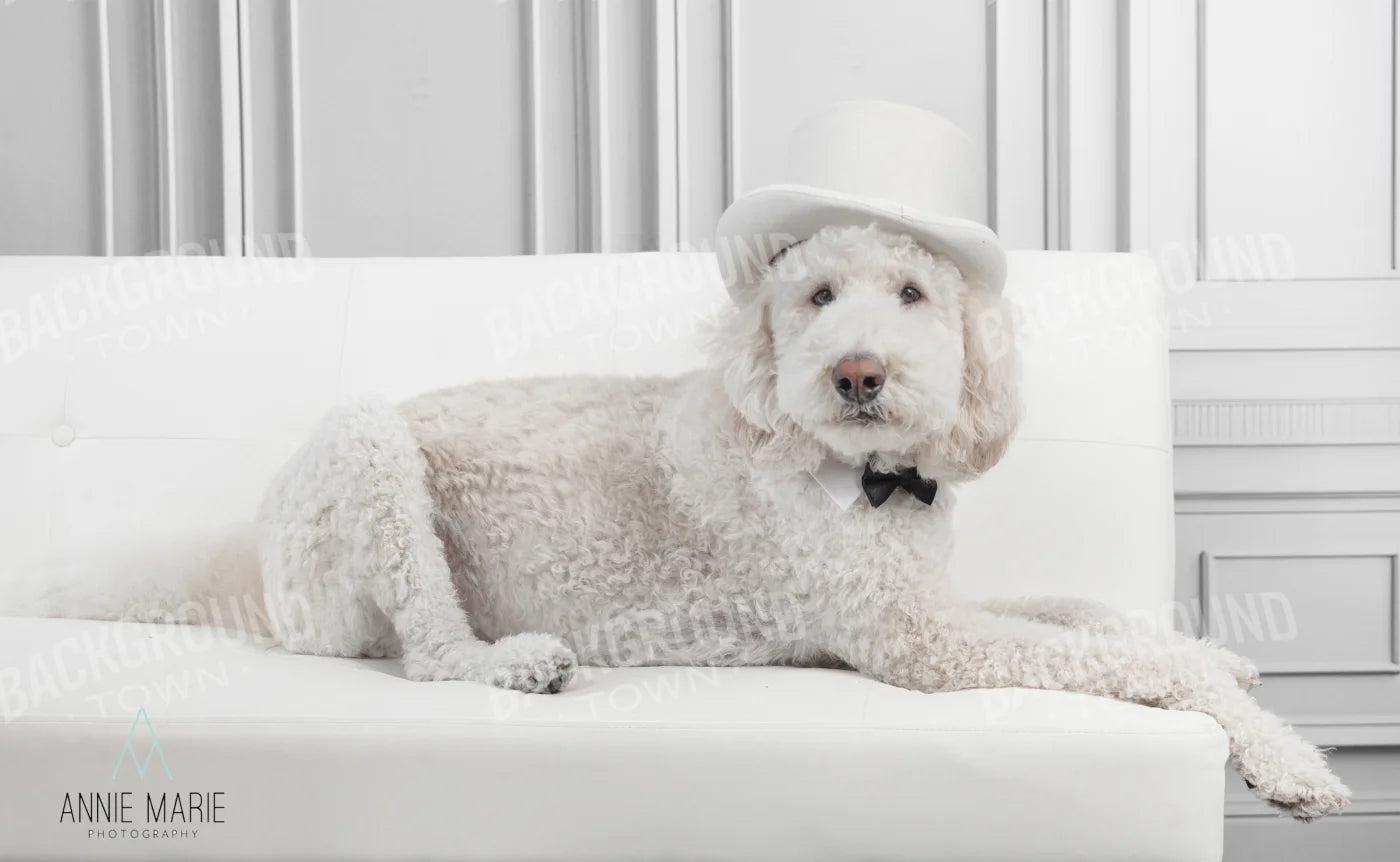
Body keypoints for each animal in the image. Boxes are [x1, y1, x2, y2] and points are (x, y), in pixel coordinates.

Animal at [249, 225, 1344, 817]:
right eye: (817, 294)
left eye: (912, 291)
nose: (858, 373)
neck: (866, 476)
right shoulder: (922, 640)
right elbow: (1133, 661)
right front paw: (1284, 754)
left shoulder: (930, 597)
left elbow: (1089, 612)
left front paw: (1217, 651)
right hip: (367, 451)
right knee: (430, 650)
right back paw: (516, 664)